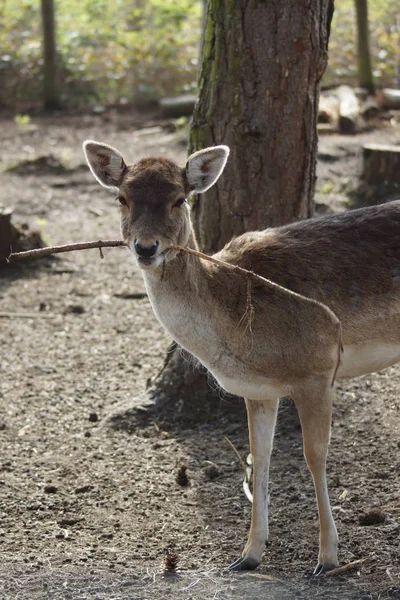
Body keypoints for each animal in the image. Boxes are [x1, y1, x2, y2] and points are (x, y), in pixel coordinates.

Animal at [83, 141, 400, 576]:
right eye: (122, 198)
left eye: (180, 199)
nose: (146, 248)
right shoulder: (259, 390)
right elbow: (258, 458)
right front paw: (248, 555)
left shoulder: (317, 368)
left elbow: (314, 456)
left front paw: (327, 559)